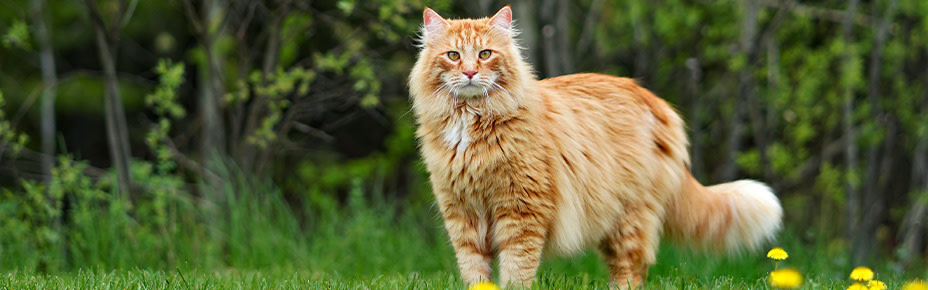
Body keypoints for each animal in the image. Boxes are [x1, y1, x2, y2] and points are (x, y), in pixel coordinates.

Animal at [410, 5, 780, 288]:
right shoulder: (462, 216)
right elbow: (475, 271)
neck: (470, 124)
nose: (470, 72)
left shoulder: (521, 212)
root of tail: (653, 100)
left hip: (628, 217)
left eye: (485, 54)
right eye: (453, 56)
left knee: (632, 270)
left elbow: (517, 269)